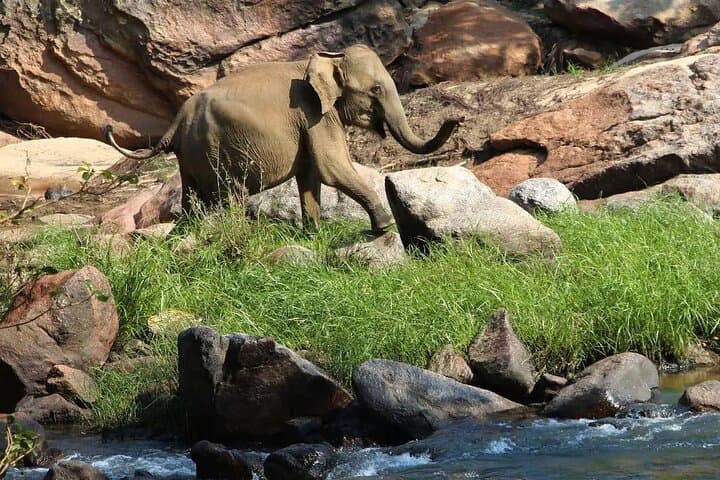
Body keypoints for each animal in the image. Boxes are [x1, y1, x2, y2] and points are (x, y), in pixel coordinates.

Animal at [104, 44, 460, 232]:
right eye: (375, 89)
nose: (457, 118)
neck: (325, 60)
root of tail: (175, 123)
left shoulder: (309, 121)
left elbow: (311, 174)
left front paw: (314, 233)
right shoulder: (314, 114)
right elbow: (332, 168)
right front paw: (384, 227)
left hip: (191, 157)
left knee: (192, 202)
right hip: (214, 150)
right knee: (229, 196)